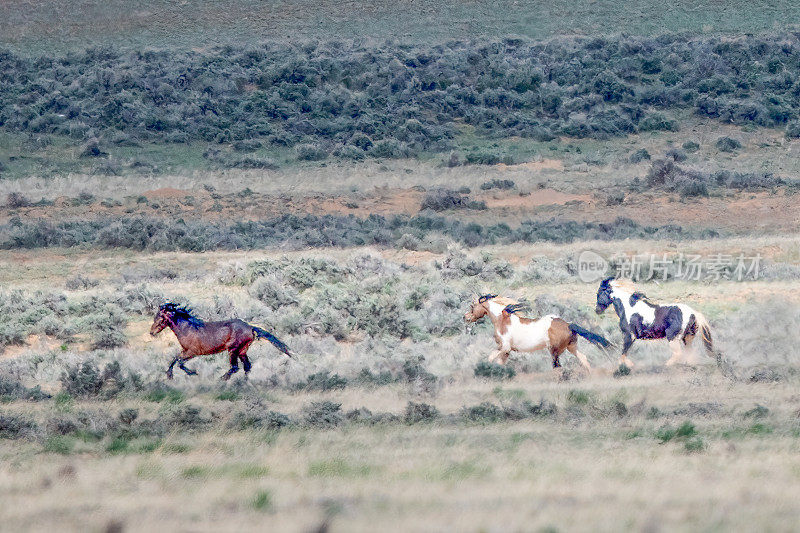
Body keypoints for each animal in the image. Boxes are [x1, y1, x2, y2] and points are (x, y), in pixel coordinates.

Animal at [149, 302, 290, 380]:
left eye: (160, 317)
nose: (152, 332)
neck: (187, 328)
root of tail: (250, 327)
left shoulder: (192, 352)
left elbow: (179, 362)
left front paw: (194, 373)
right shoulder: (185, 351)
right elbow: (174, 359)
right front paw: (169, 375)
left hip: (233, 350)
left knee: (235, 367)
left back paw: (221, 380)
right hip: (242, 351)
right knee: (247, 367)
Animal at [466, 296, 608, 370]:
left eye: (472, 306)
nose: (465, 317)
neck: (502, 320)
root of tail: (568, 324)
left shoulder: (504, 347)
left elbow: (490, 358)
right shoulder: (506, 351)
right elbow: (499, 363)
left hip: (555, 350)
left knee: (557, 366)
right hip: (571, 347)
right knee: (583, 359)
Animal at [592, 276, 720, 368]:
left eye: (599, 292)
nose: (597, 310)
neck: (629, 308)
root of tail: (693, 313)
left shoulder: (629, 335)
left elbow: (623, 352)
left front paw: (627, 365)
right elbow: (624, 352)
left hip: (672, 337)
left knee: (678, 354)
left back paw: (666, 365)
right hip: (687, 337)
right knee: (688, 353)